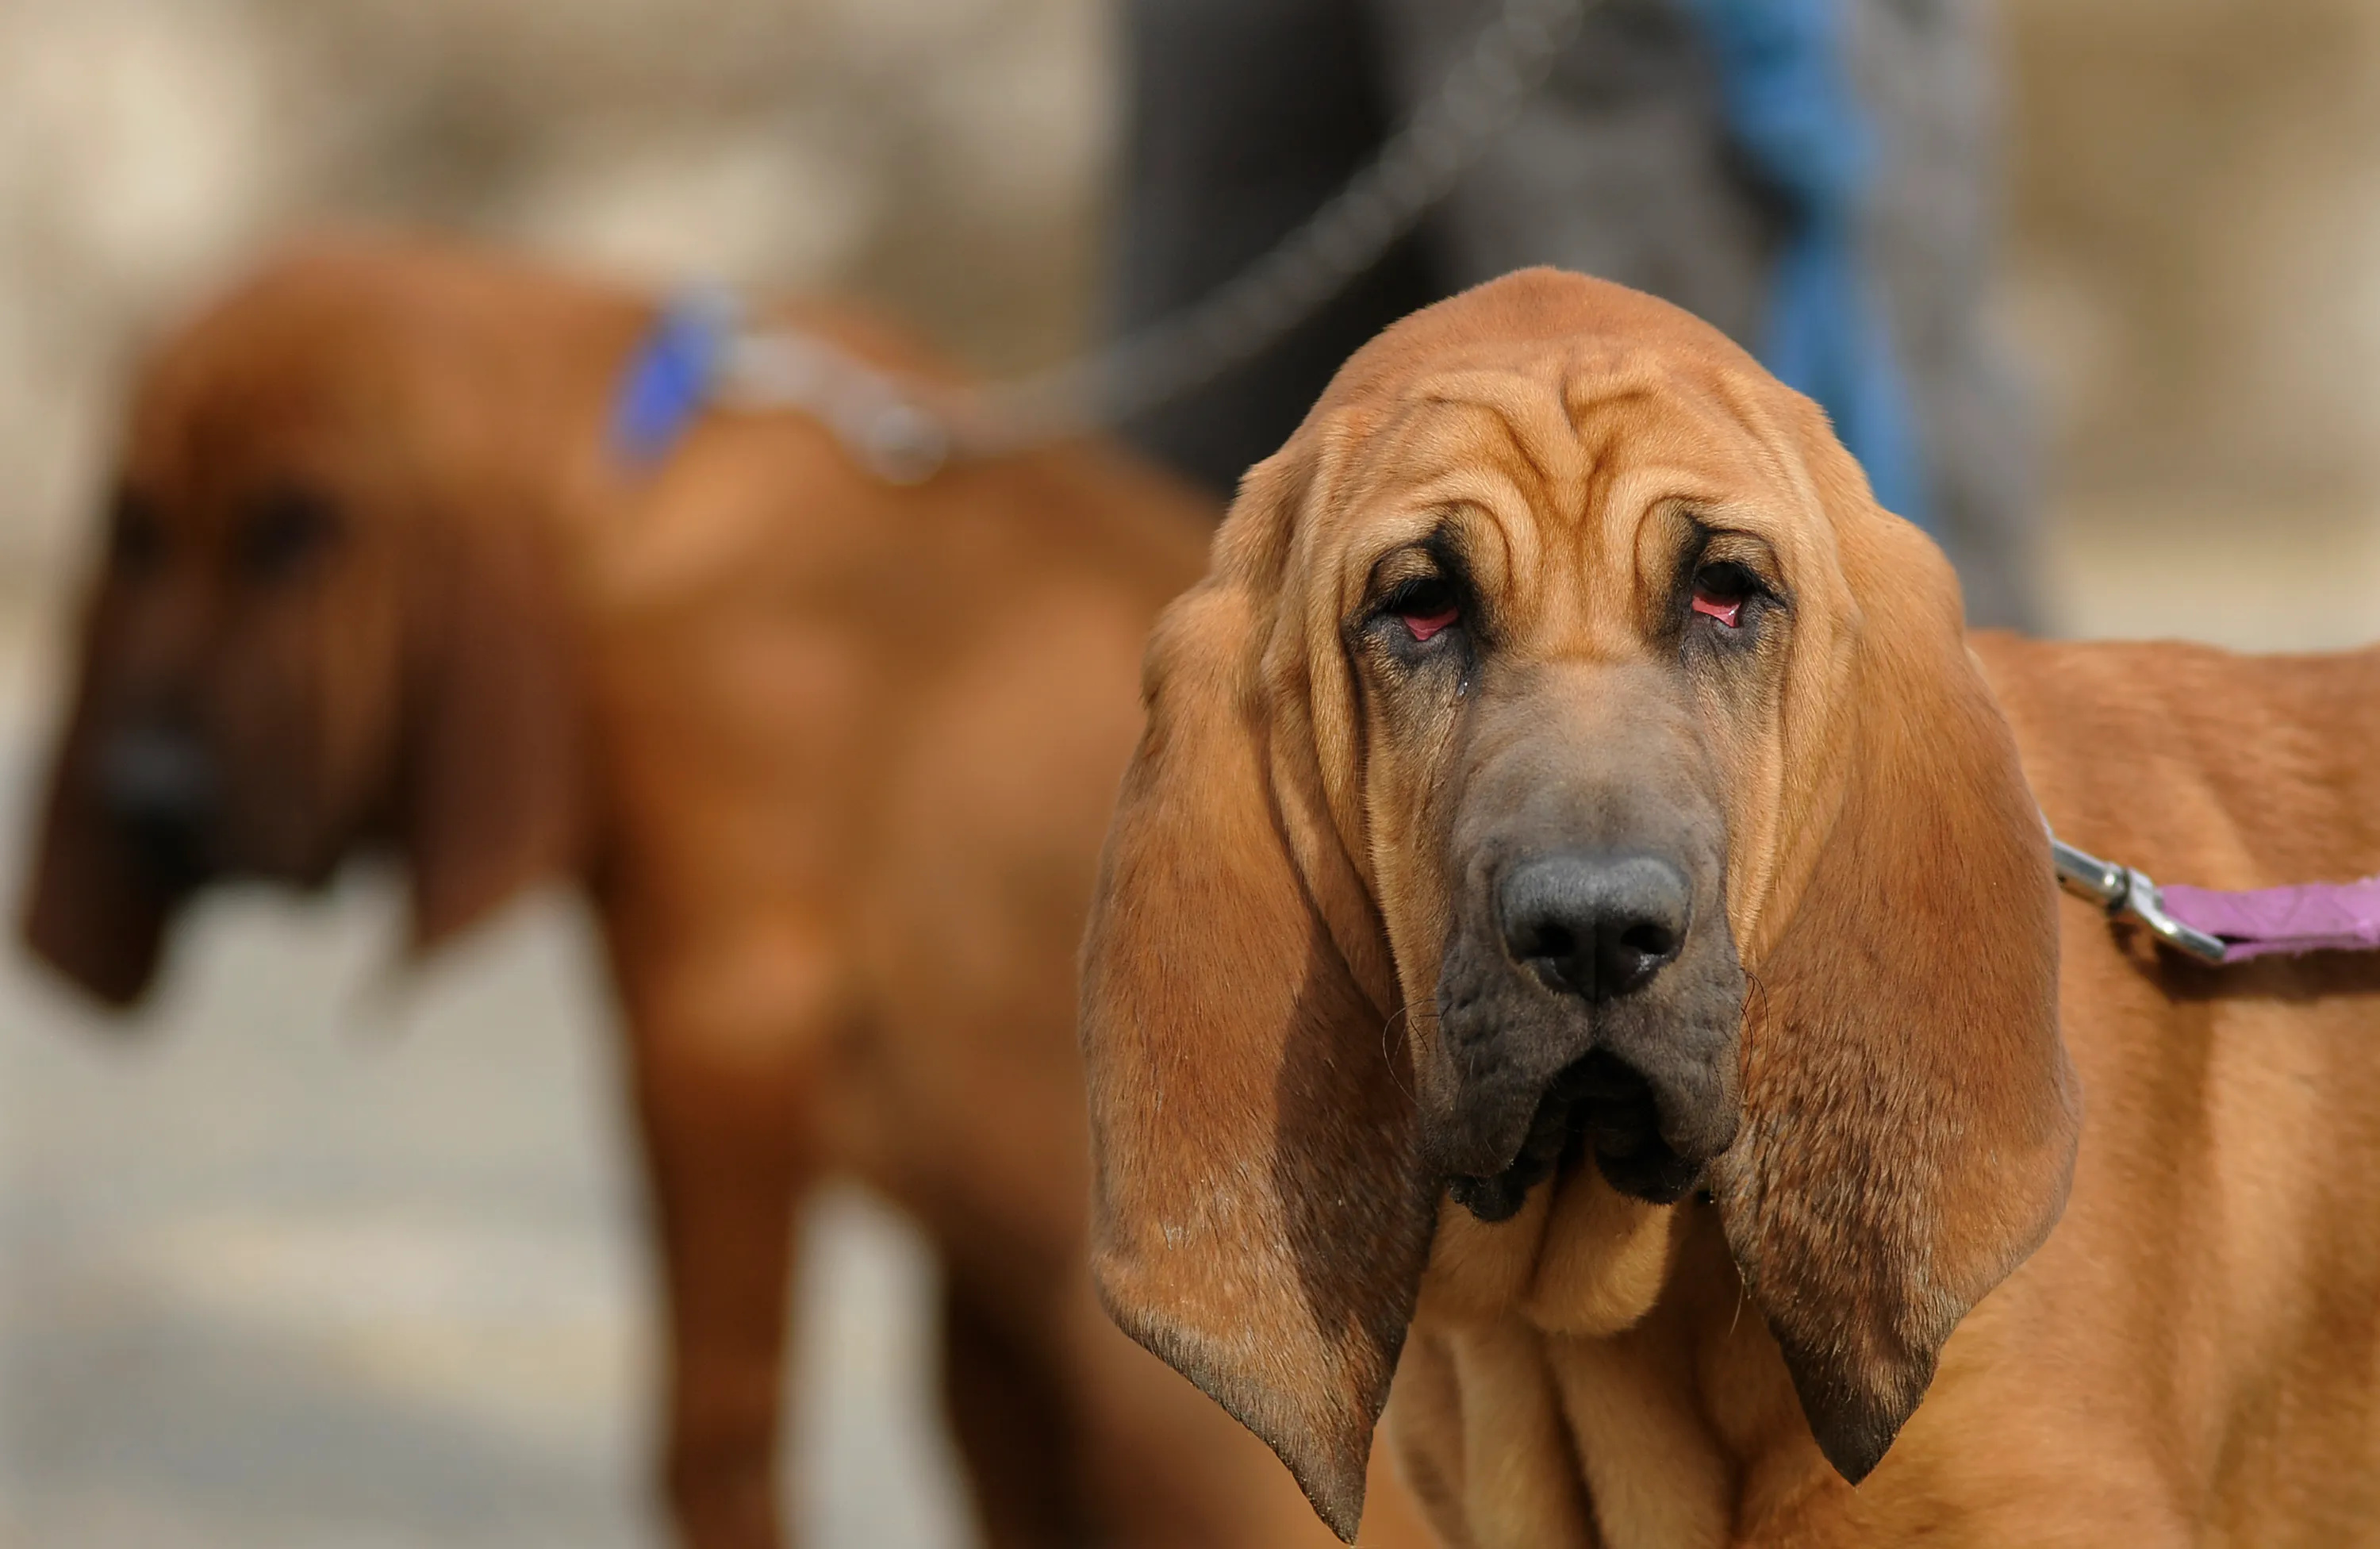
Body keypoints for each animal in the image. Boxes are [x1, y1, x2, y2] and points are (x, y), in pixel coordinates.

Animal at [18, 236, 1428, 1549]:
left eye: (298, 527)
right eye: (136, 530)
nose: (144, 797)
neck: (643, 473)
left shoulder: (711, 1023)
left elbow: (713, 1430)